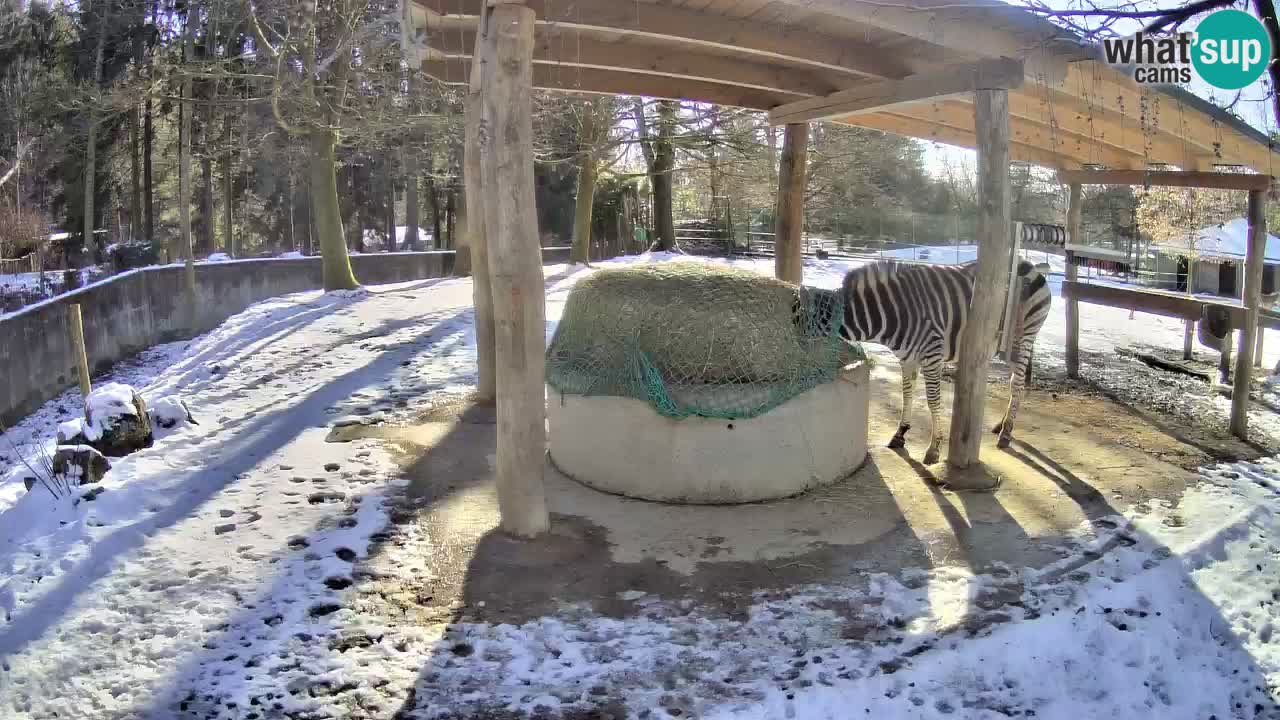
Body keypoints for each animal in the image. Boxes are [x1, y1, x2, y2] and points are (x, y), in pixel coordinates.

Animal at [829, 256, 1049, 458]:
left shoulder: (932, 353)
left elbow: (933, 399)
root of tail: (1028, 263)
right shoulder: (906, 357)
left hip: (1025, 336)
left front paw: (934, 448)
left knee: (1017, 384)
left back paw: (1006, 433)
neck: (891, 312)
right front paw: (900, 433)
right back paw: (1000, 425)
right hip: (1009, 346)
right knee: (1014, 382)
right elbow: (906, 393)